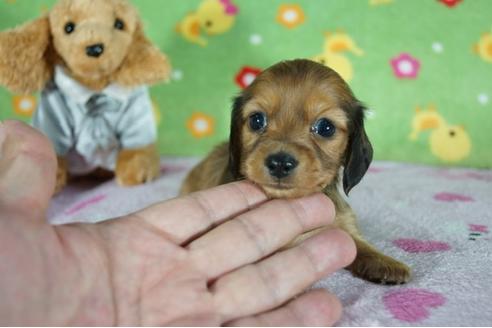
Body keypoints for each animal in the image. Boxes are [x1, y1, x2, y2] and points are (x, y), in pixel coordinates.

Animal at [182, 59, 412, 284]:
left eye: (325, 127)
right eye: (257, 120)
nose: (279, 163)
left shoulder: (342, 220)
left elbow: (355, 242)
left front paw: (385, 263)